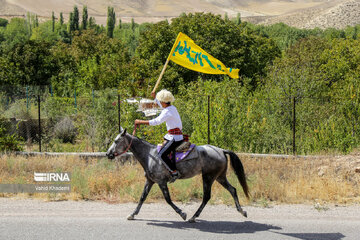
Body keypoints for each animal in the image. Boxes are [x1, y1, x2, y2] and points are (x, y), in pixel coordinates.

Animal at [105, 128, 249, 222]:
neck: (150, 155)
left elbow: (168, 199)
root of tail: (222, 150)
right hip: (220, 177)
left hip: (208, 177)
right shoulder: (150, 181)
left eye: (116, 141)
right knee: (233, 190)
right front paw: (132, 214)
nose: (108, 154)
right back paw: (242, 211)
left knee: (207, 197)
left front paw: (182, 213)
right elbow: (142, 197)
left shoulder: (161, 182)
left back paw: (193, 217)